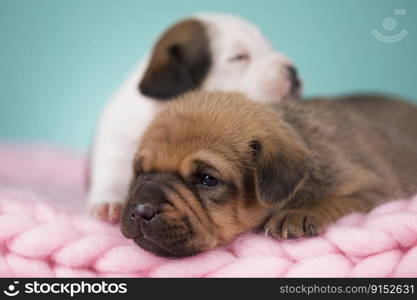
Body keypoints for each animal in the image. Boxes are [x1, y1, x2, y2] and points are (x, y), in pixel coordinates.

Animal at [118, 91, 416, 255]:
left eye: (207, 179)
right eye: (139, 171)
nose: (139, 210)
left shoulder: (376, 189)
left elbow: (334, 200)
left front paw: (297, 213)